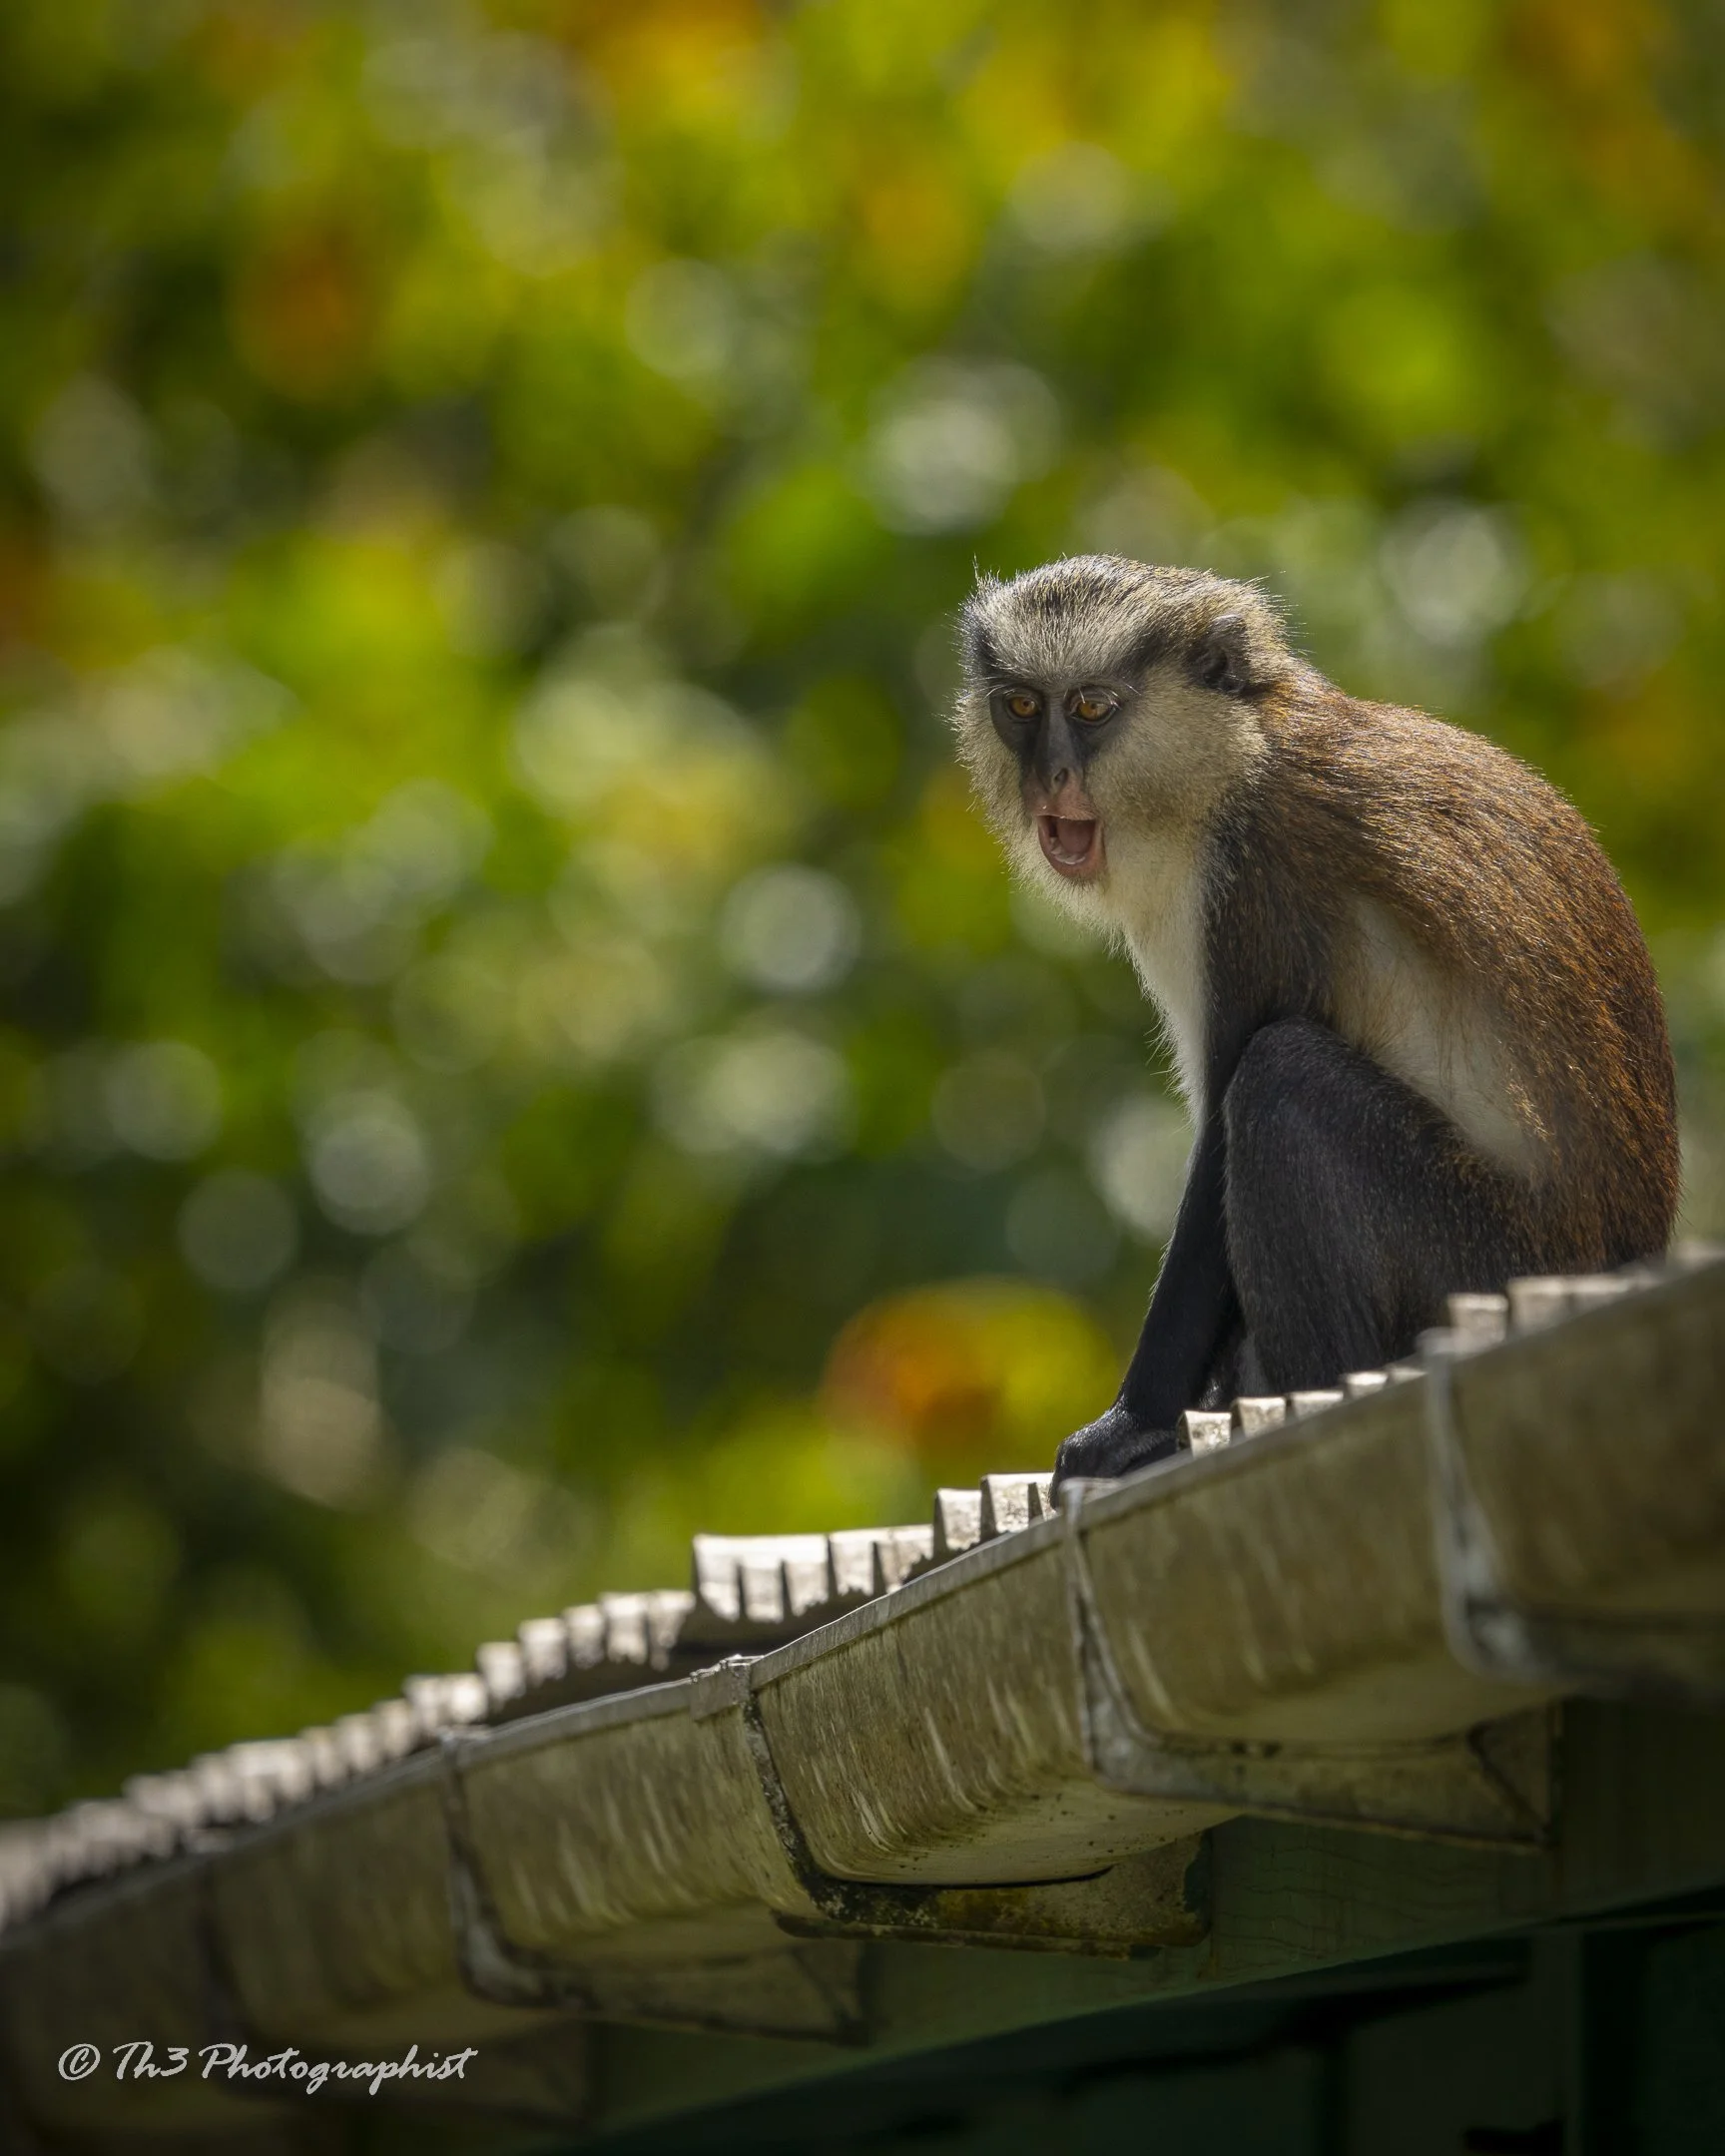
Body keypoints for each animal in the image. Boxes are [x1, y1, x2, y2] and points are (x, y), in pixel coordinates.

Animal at [950, 556, 1680, 1487]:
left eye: (1089, 708)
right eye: (1019, 707)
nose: (1050, 779)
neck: (1237, 758)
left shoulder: (1257, 881)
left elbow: (1220, 1146)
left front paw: (1131, 1427)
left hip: (1483, 1259)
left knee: (1281, 1077)